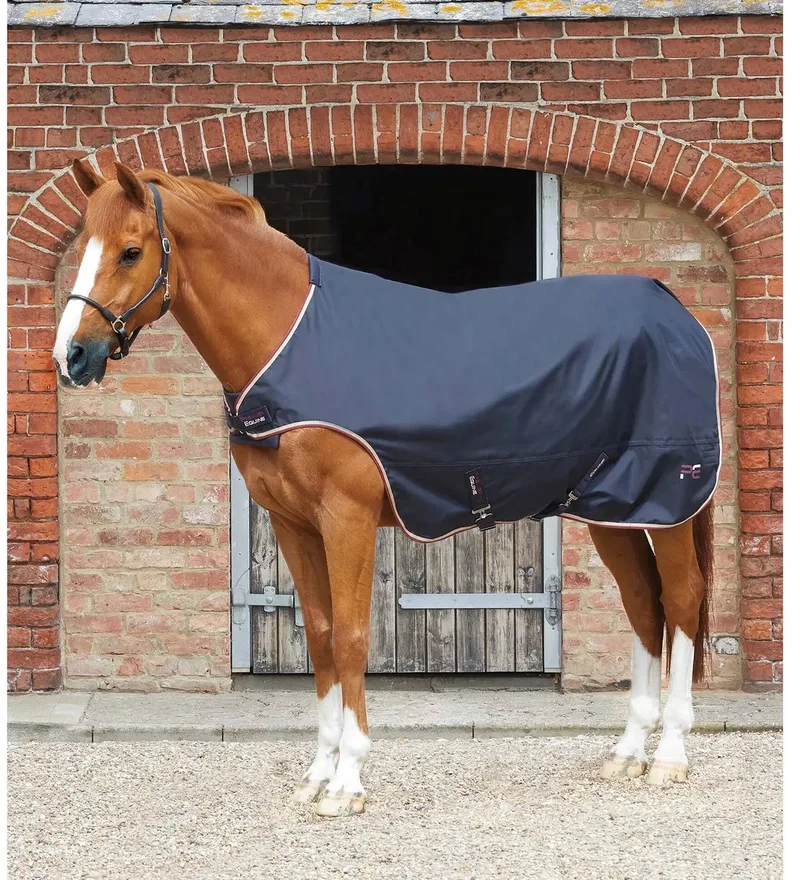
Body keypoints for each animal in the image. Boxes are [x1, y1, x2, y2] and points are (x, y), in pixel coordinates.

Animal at [54, 160, 715, 818]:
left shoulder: (346, 517)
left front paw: (348, 781)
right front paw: (318, 774)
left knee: (682, 597)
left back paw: (669, 757)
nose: (72, 357)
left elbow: (351, 638)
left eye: (131, 251)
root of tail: (675, 312)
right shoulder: (293, 523)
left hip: (668, 502)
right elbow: (321, 636)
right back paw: (627, 753)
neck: (288, 343)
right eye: (82, 246)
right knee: (643, 603)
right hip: (614, 508)